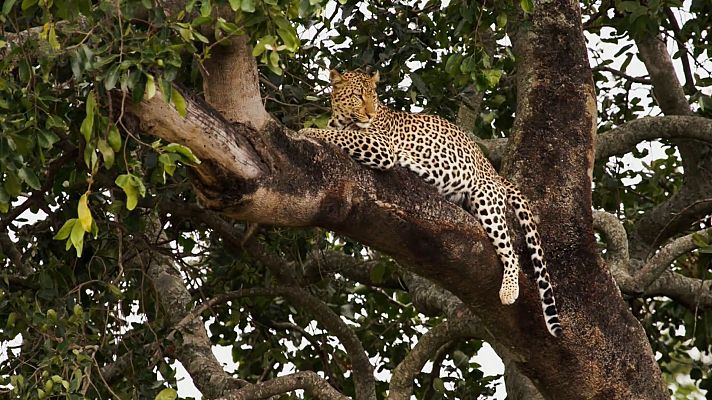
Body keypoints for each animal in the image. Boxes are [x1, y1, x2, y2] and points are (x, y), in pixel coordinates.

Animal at [298, 69, 560, 338]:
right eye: (358, 96)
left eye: (373, 96)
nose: (370, 114)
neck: (342, 118)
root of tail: (492, 170)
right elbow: (342, 133)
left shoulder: (382, 147)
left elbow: (343, 135)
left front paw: (307, 131)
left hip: (485, 198)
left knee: (510, 252)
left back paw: (509, 291)